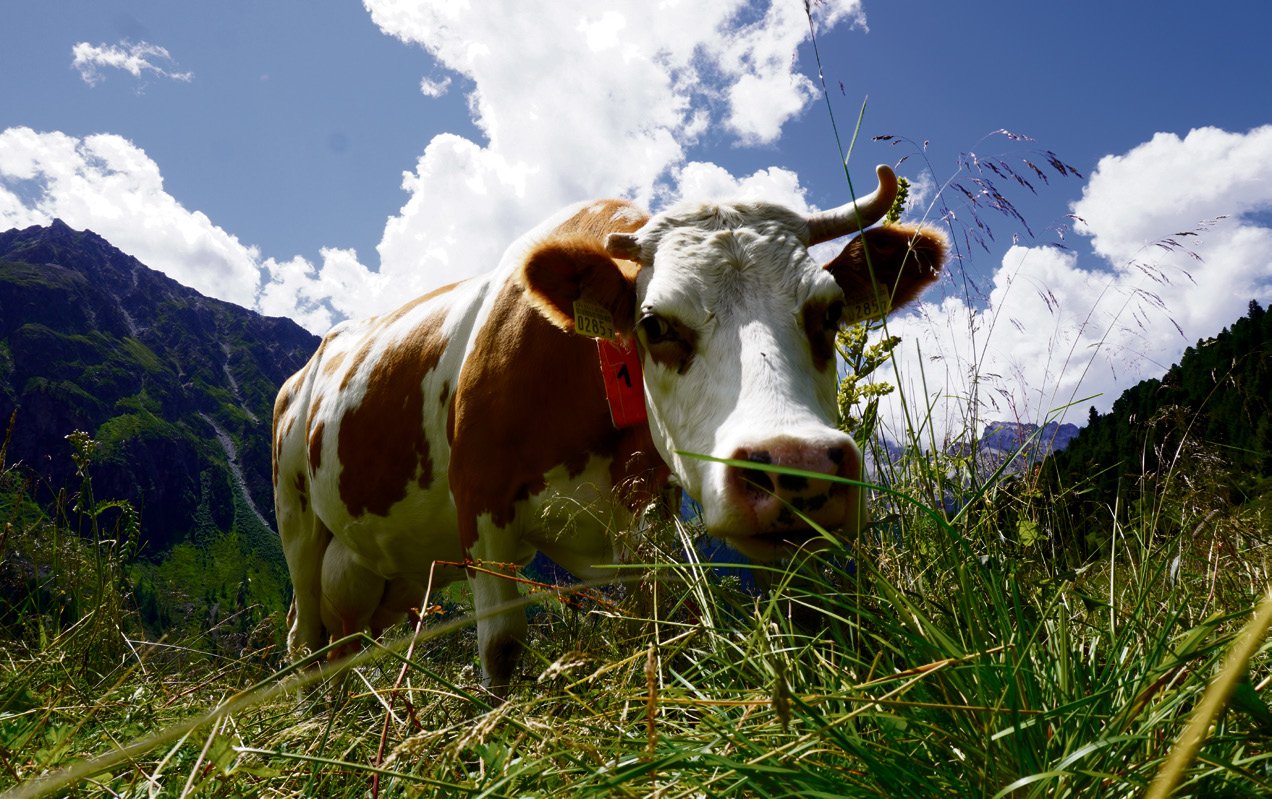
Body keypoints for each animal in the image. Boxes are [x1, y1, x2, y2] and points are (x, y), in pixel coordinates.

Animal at [272, 165, 946, 694]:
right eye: (654, 325)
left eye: (830, 312)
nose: (794, 463)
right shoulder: (481, 497)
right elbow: (501, 649)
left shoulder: (644, 506)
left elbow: (661, 620)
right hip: (296, 518)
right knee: (304, 639)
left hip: (380, 569)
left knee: (342, 647)